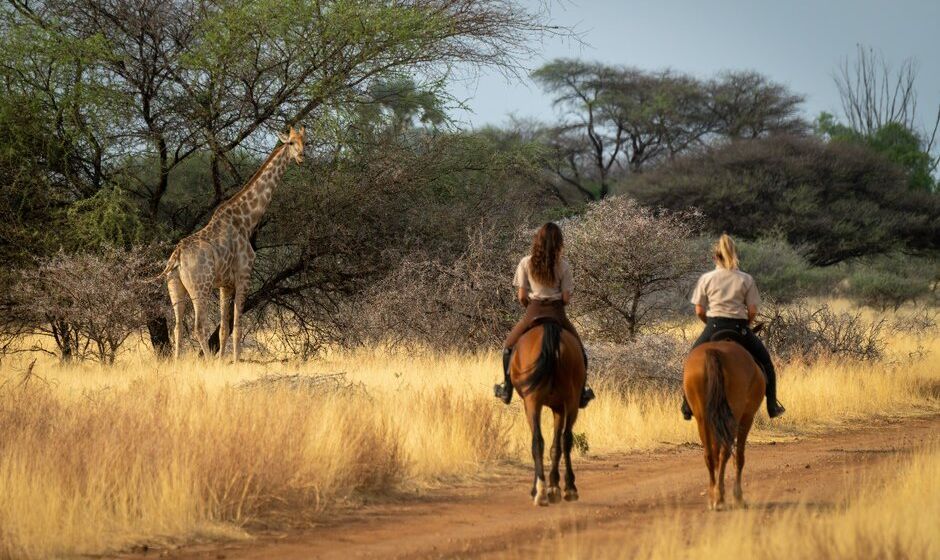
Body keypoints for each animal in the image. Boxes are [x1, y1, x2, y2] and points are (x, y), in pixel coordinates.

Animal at [160, 126, 306, 364]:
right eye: (291, 143)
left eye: (305, 141)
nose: (302, 157)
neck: (247, 220)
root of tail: (178, 255)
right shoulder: (243, 276)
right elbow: (236, 325)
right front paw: (235, 362)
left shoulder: (224, 284)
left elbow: (223, 329)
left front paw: (223, 362)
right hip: (200, 286)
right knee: (198, 326)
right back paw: (207, 363)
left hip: (175, 286)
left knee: (177, 327)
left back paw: (176, 364)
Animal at [510, 320, 584, 508]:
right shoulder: (558, 407)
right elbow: (556, 447)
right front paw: (554, 487)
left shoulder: (550, 406)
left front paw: (549, 487)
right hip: (569, 401)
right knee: (563, 439)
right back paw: (565, 489)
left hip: (534, 401)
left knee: (540, 440)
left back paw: (542, 491)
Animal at [684, 332, 764, 512]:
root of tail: (714, 352)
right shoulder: (747, 417)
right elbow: (739, 457)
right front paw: (738, 497)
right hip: (732, 418)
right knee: (725, 453)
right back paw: (720, 498)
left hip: (703, 418)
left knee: (710, 455)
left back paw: (714, 498)